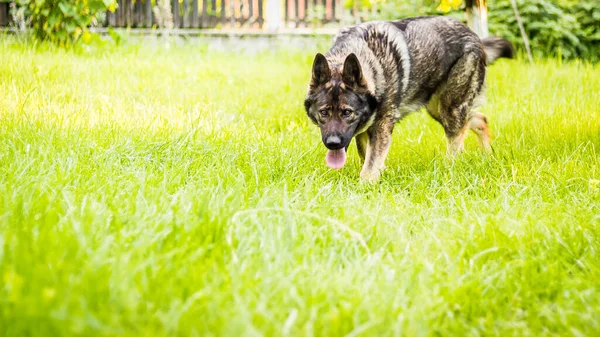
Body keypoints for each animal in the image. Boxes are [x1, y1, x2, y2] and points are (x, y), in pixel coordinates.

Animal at [302, 15, 512, 181]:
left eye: (347, 112)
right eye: (324, 112)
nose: (333, 143)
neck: (370, 59)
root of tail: (475, 36)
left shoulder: (380, 127)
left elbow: (370, 164)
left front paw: (366, 185)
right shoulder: (363, 130)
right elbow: (366, 158)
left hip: (450, 108)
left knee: (457, 141)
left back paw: (450, 168)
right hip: (438, 108)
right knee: (478, 119)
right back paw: (487, 156)